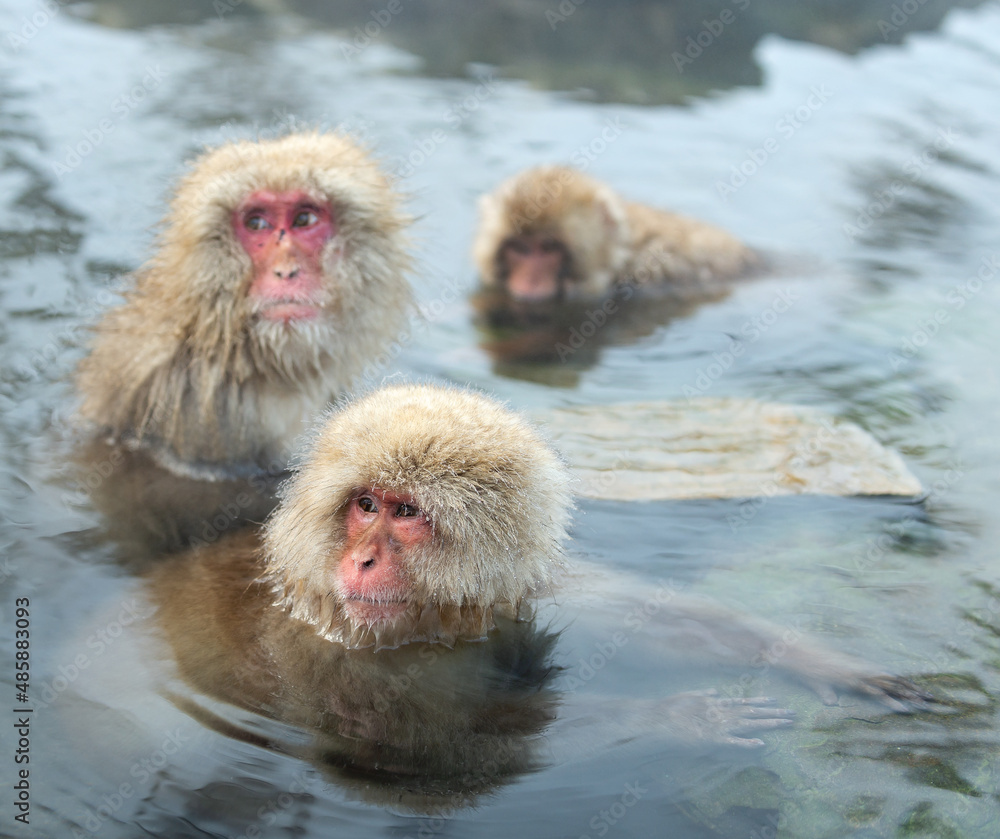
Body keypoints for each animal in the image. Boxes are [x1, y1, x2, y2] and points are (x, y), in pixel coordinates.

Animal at [146, 383, 932, 805]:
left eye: (406, 512)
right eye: (364, 504)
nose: (363, 558)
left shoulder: (526, 587)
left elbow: (654, 616)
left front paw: (817, 661)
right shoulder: (332, 648)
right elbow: (448, 747)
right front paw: (677, 717)